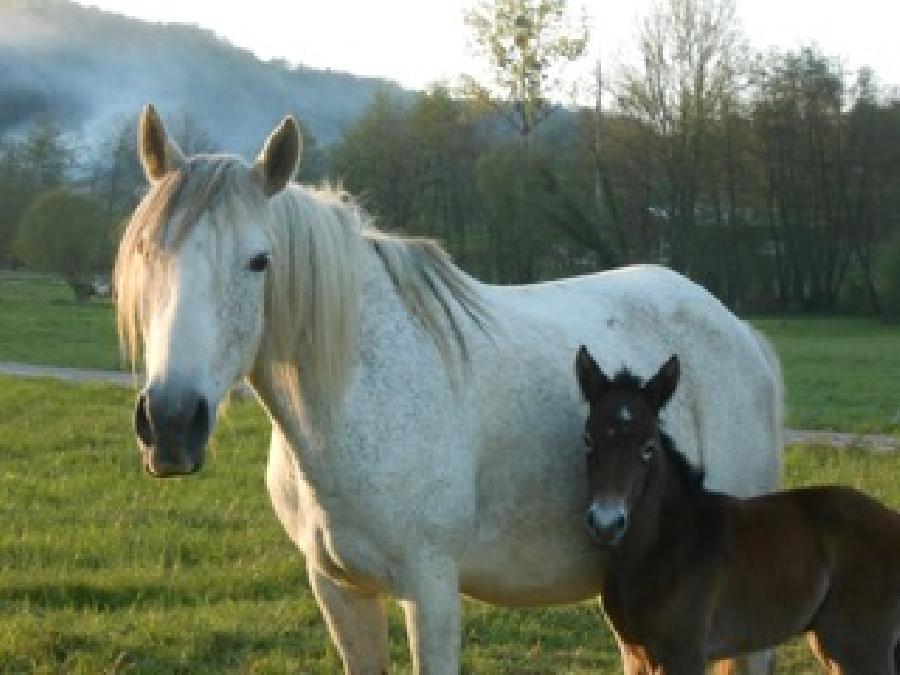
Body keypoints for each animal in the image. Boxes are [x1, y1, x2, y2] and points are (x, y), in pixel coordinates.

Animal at [113, 103, 783, 674]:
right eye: (146, 250)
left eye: (259, 261)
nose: (170, 422)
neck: (354, 404)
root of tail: (740, 332)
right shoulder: (339, 591)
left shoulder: (431, 592)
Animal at [575, 346, 900, 675]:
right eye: (588, 440)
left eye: (648, 447)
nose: (606, 523)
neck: (665, 545)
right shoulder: (634, 654)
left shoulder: (686, 653)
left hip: (857, 645)